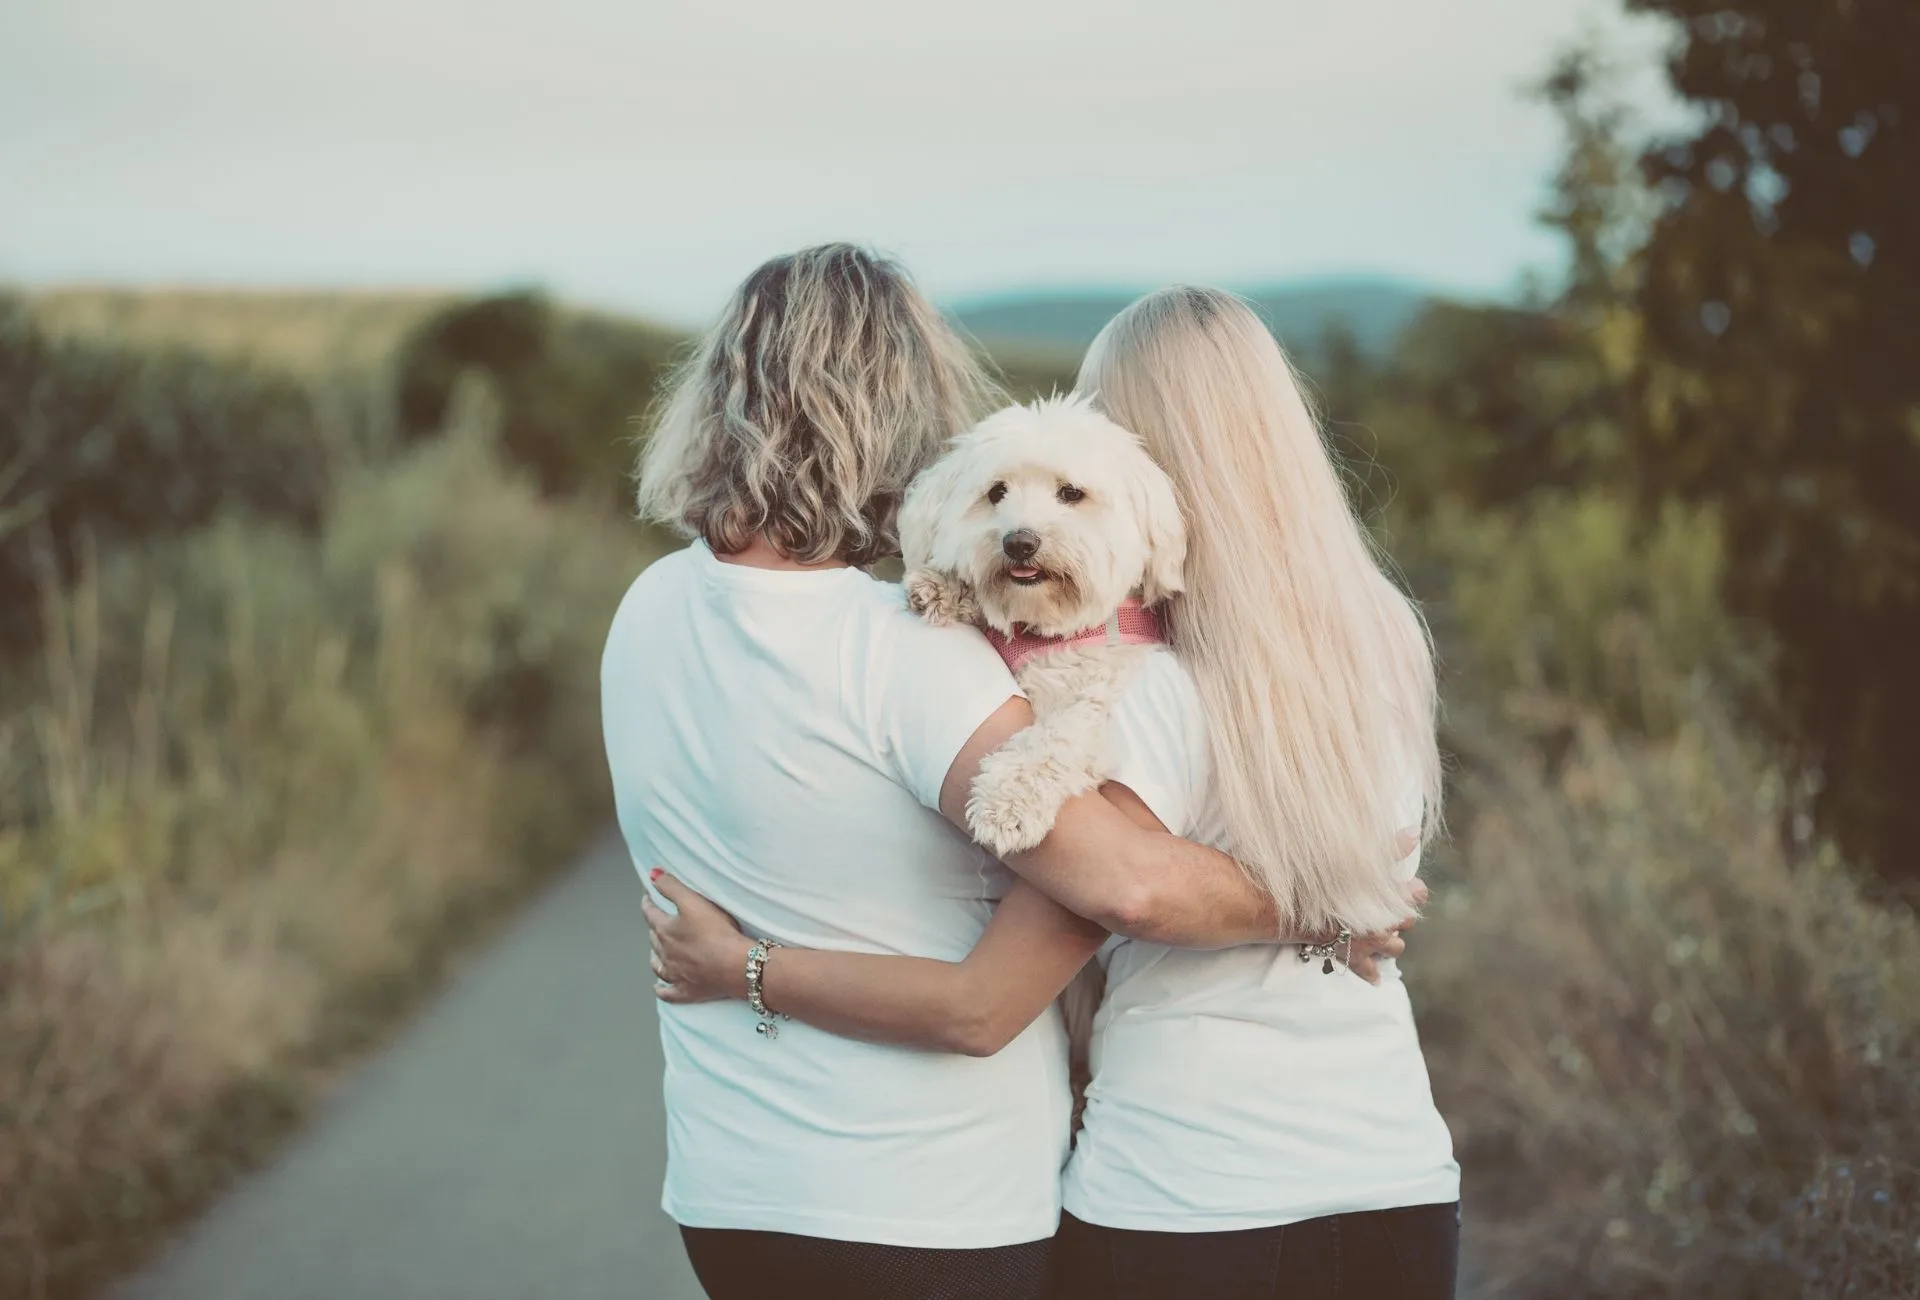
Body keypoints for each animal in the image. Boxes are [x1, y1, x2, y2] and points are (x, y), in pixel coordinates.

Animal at [898, 393, 1182, 852]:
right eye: (997, 492)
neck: (1045, 628)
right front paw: (943, 588)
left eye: (1071, 492)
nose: (1019, 542)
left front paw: (1006, 802)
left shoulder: (1095, 696)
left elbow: (1057, 737)